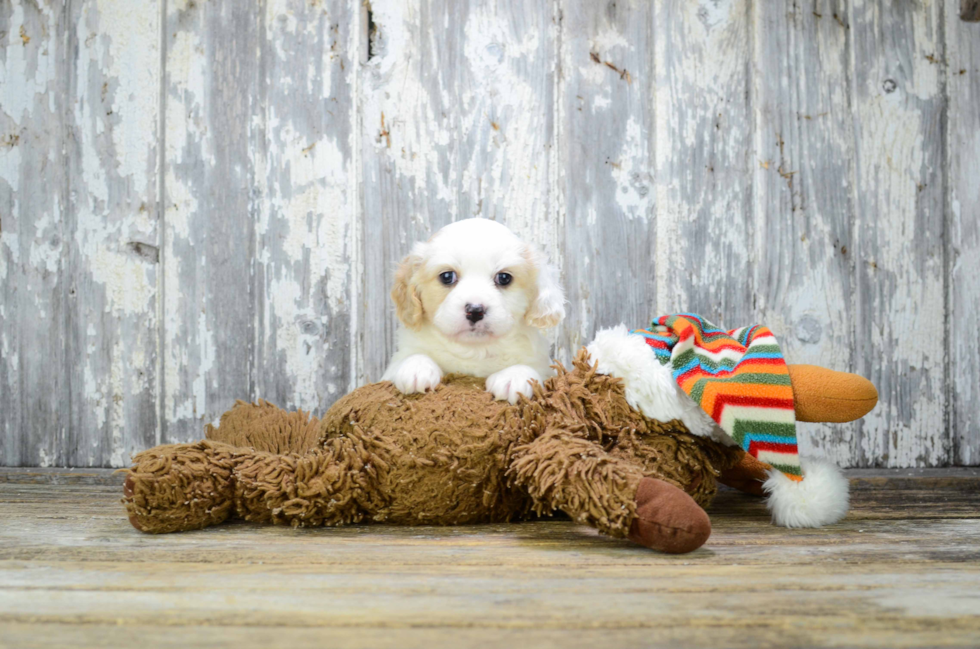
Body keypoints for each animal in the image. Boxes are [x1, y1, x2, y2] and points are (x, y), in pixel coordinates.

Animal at [382, 220, 568, 402]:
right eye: (447, 276)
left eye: (504, 278)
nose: (475, 310)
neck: (474, 350)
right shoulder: (392, 368)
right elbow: (410, 356)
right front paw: (416, 367)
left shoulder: (544, 367)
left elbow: (530, 368)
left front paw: (514, 377)